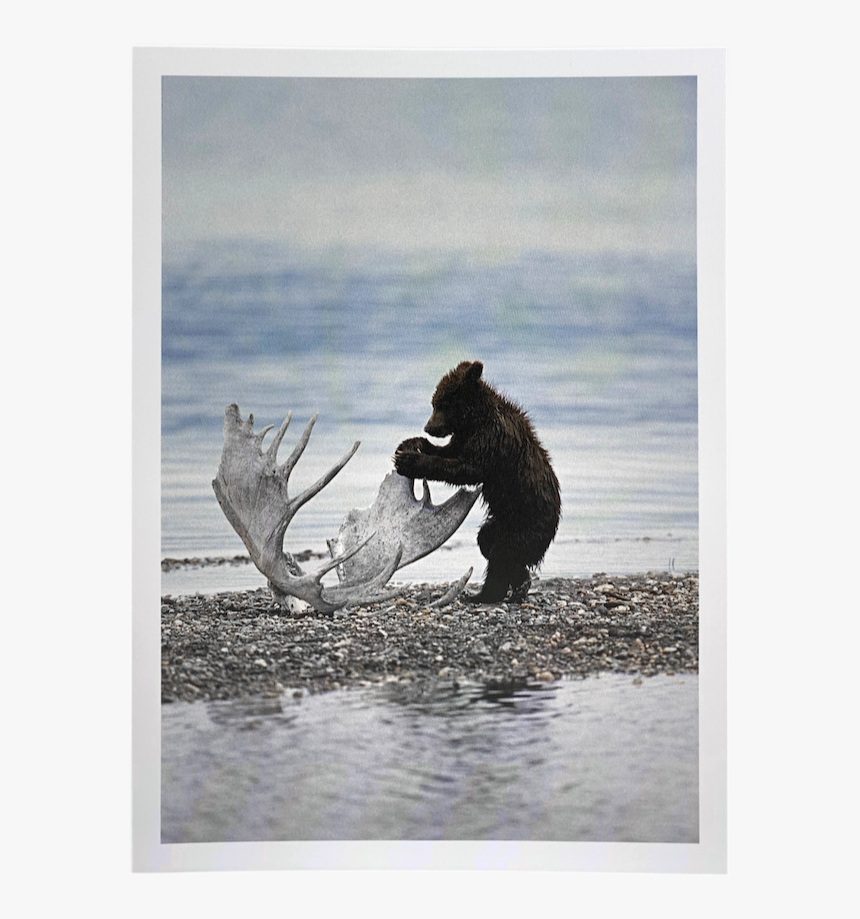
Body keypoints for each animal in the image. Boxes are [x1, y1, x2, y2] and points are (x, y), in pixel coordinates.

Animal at [394, 360, 561, 603]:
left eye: (443, 404)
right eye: (434, 403)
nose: (429, 427)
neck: (475, 420)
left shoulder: (492, 438)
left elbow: (467, 468)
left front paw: (409, 461)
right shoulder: (464, 437)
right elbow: (449, 451)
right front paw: (411, 443)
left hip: (528, 523)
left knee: (502, 554)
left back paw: (485, 594)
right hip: (500, 522)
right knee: (487, 541)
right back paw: (519, 582)